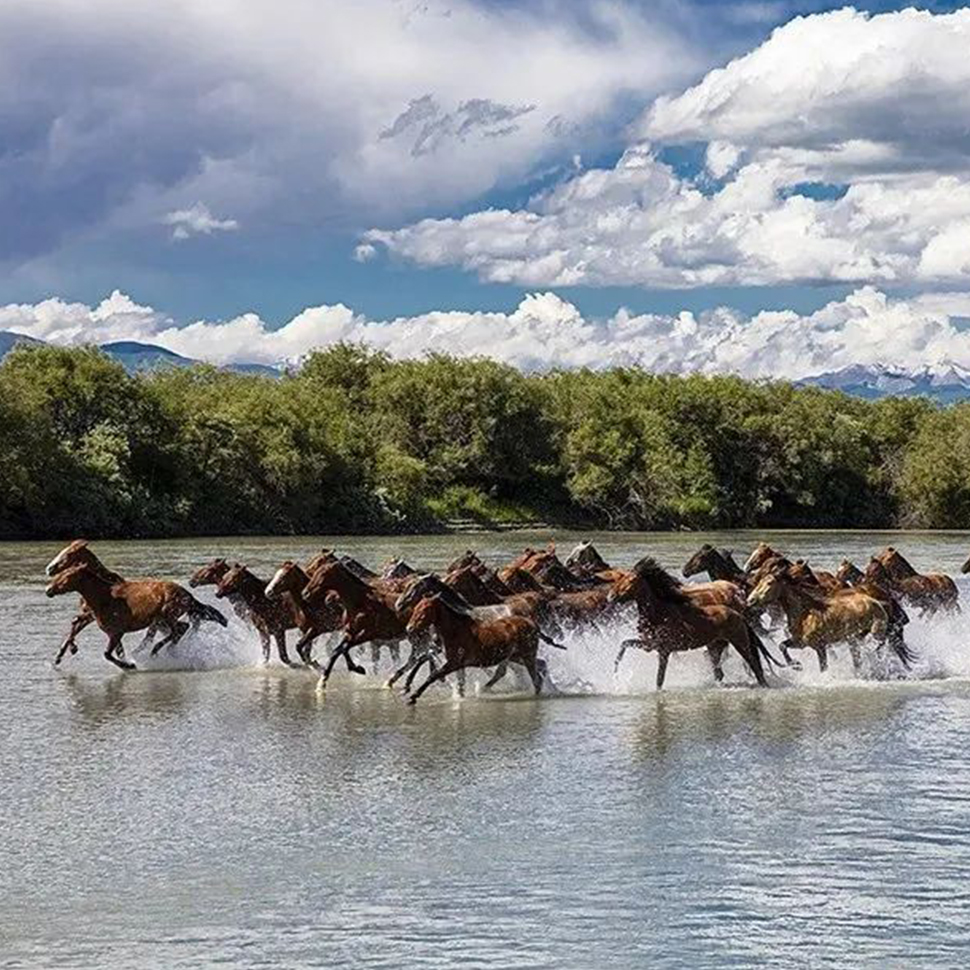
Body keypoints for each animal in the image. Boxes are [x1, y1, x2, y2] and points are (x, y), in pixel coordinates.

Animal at [46, 564, 228, 668]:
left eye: (65, 577)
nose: (49, 590)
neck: (103, 598)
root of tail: (188, 595)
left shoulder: (117, 632)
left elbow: (108, 654)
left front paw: (129, 665)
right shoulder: (110, 632)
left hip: (167, 615)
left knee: (179, 629)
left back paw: (157, 651)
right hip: (163, 619)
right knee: (181, 629)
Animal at [400, 588, 560, 704]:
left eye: (425, 609)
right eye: (416, 607)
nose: (409, 628)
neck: (455, 630)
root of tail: (533, 625)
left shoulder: (454, 663)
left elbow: (433, 675)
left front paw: (413, 696)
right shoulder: (458, 664)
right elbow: (460, 684)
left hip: (527, 656)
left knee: (536, 679)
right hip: (517, 657)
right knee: (541, 665)